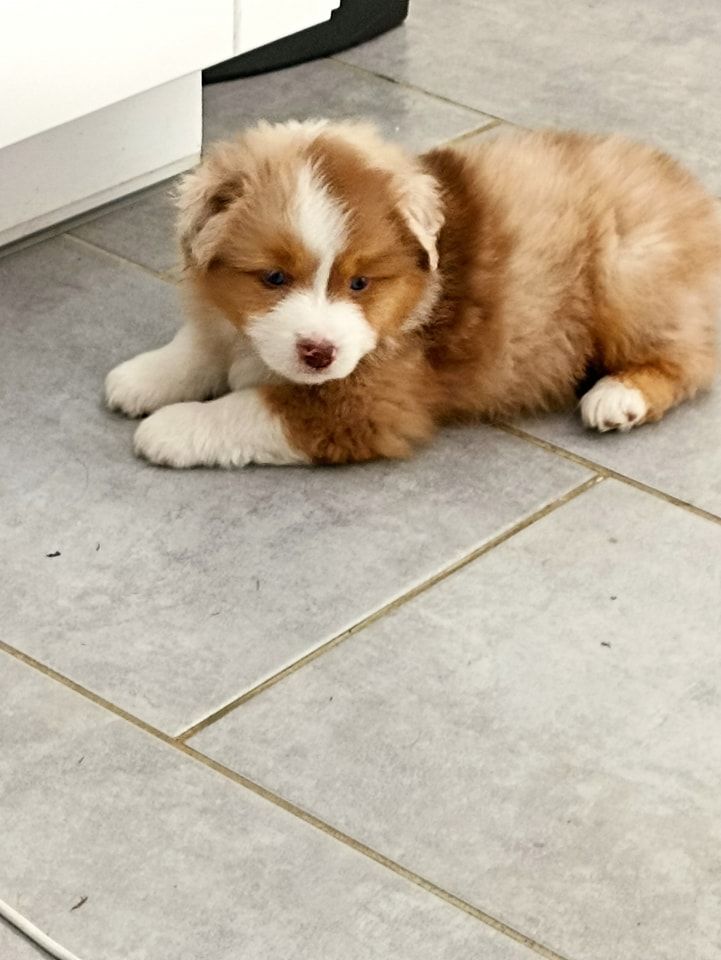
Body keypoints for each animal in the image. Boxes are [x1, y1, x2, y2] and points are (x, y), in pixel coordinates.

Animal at [105, 119, 721, 467]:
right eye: (274, 278)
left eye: (359, 283)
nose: (318, 353)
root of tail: (696, 197)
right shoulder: (228, 320)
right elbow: (200, 345)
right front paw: (142, 378)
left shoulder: (368, 404)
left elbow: (250, 408)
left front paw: (170, 428)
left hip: (630, 273)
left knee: (689, 358)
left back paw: (617, 398)